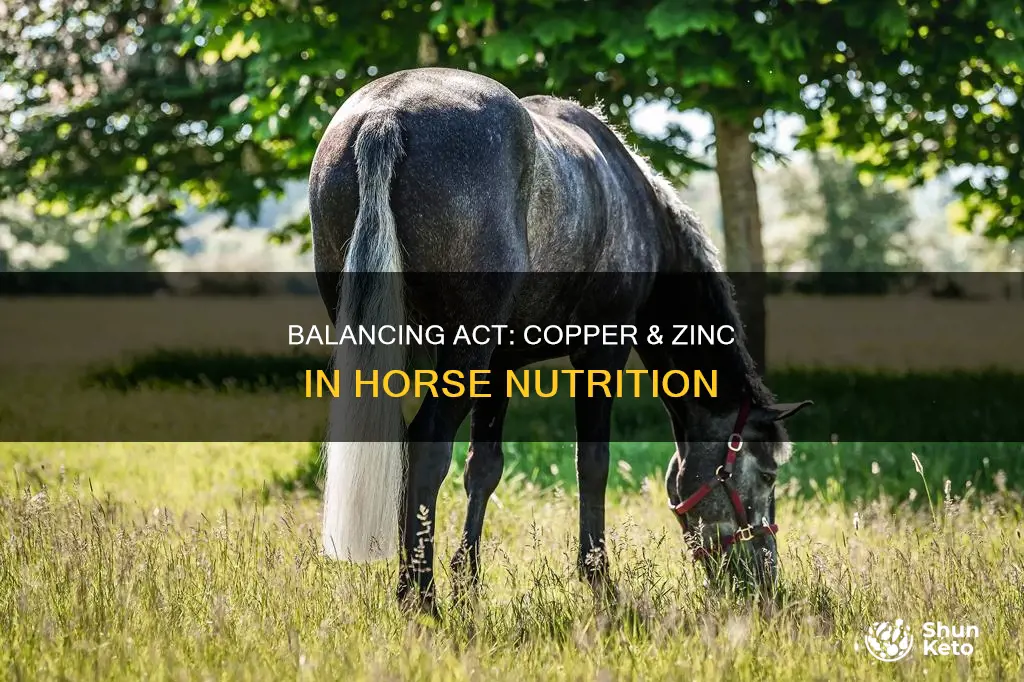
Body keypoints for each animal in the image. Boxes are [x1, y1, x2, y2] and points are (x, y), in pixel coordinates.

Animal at [308, 67, 811, 612]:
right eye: (767, 474)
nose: (765, 578)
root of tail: (386, 116)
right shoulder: (602, 347)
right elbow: (592, 462)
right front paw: (597, 578)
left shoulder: (499, 365)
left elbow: (484, 467)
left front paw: (469, 582)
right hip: (463, 349)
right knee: (427, 446)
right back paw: (418, 596)